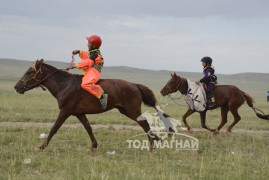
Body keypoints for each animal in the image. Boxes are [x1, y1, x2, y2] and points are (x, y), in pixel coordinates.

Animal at [14, 59, 161, 151]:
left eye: (29, 72)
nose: (16, 87)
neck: (64, 85)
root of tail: (135, 85)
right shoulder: (79, 113)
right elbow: (88, 128)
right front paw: (94, 146)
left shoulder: (65, 111)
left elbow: (54, 128)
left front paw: (41, 146)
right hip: (125, 110)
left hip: (132, 111)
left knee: (145, 124)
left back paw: (152, 146)